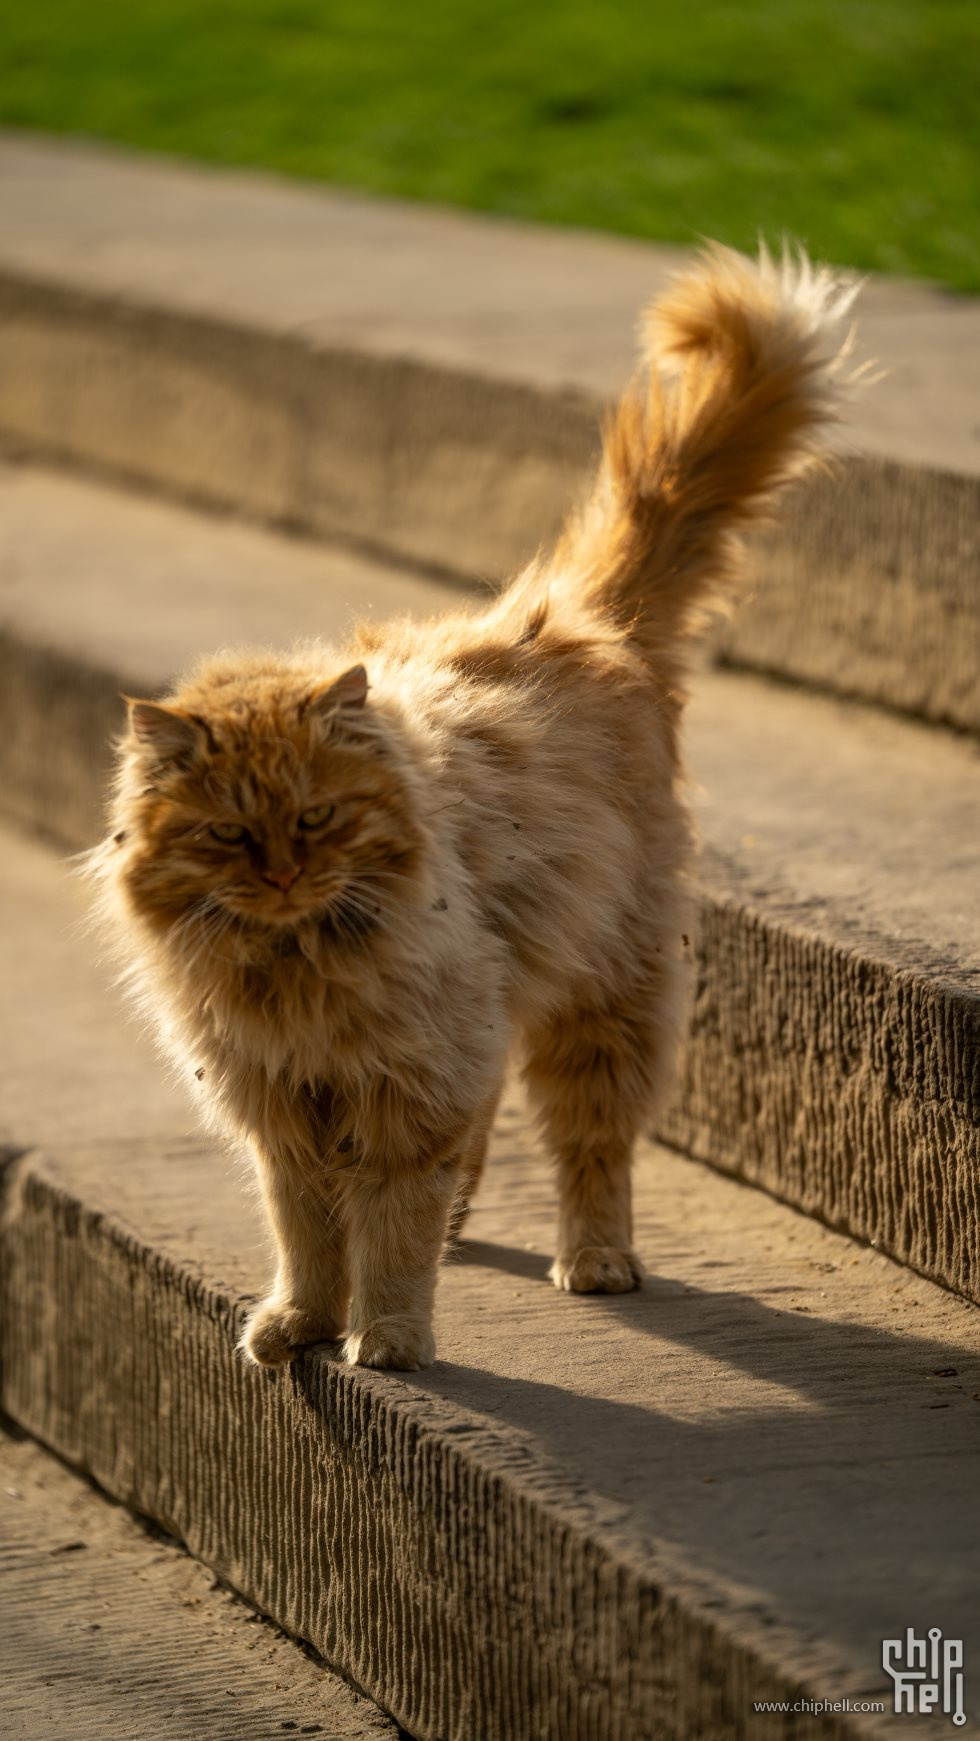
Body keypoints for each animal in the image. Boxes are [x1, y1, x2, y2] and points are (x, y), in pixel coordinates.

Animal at [90, 248, 859, 1371]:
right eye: (229, 833)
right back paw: (467, 1224)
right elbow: (305, 1231)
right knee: (493, 1127)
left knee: (591, 1146)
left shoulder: (405, 1084)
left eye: (316, 819)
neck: (295, 966)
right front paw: (300, 1322)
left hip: (605, 996)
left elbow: (388, 1227)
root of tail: (583, 620)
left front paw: (388, 1336)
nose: (281, 873)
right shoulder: (285, 1104)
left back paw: (595, 1260)